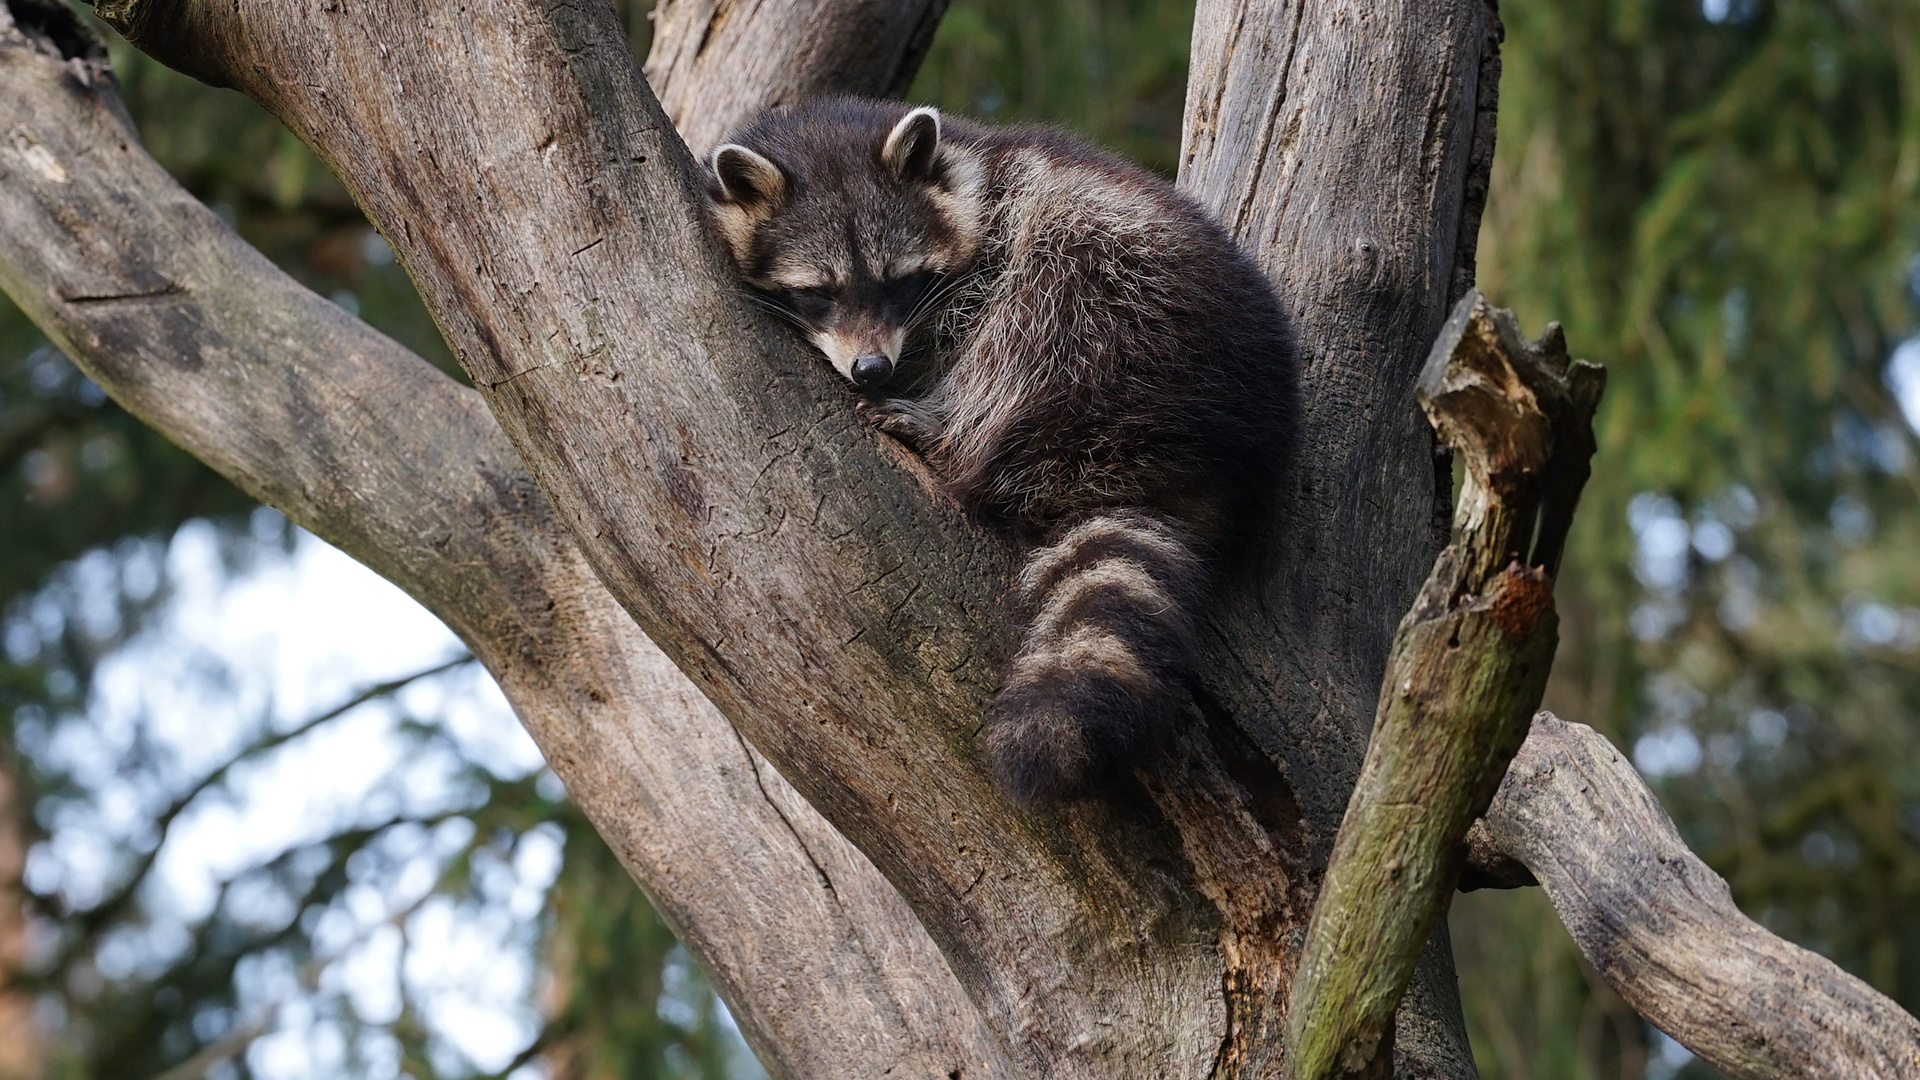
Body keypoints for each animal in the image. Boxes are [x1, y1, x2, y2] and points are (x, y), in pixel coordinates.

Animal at [714, 100, 1297, 803]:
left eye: (898, 282)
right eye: (819, 292)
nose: (873, 369)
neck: (963, 171)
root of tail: (1187, 457)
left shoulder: (1000, 230)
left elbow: (988, 309)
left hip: (1132, 309)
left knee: (1037, 309)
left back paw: (952, 430)